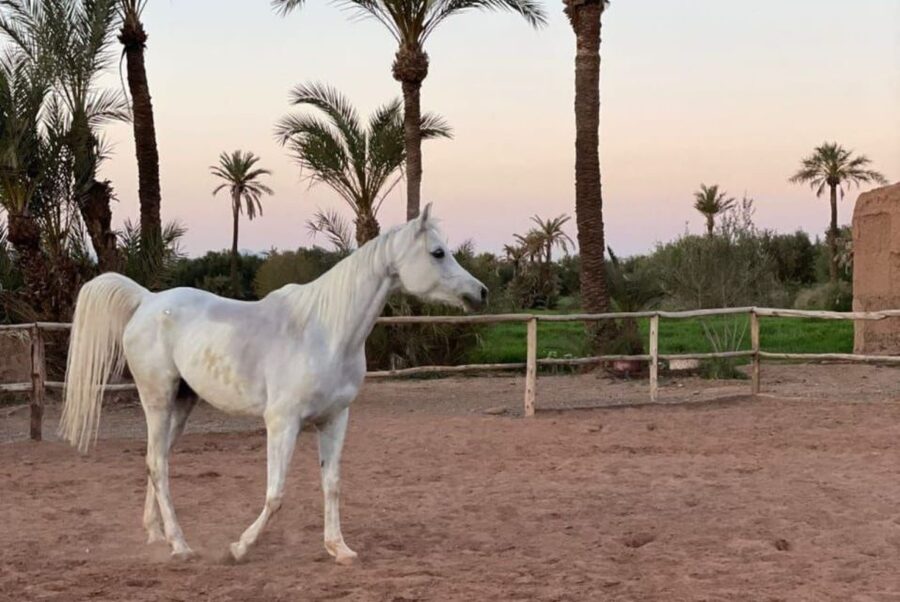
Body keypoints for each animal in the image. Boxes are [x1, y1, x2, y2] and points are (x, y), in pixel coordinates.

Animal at [58, 204, 487, 564]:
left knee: (155, 460)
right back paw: (180, 546)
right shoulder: (282, 423)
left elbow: (331, 484)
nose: (480, 293)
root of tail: (147, 301)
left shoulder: (334, 420)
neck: (326, 332)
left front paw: (339, 549)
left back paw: (157, 535)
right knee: (158, 465)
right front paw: (239, 547)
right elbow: (276, 493)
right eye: (438, 252)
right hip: (158, 400)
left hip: (181, 405)